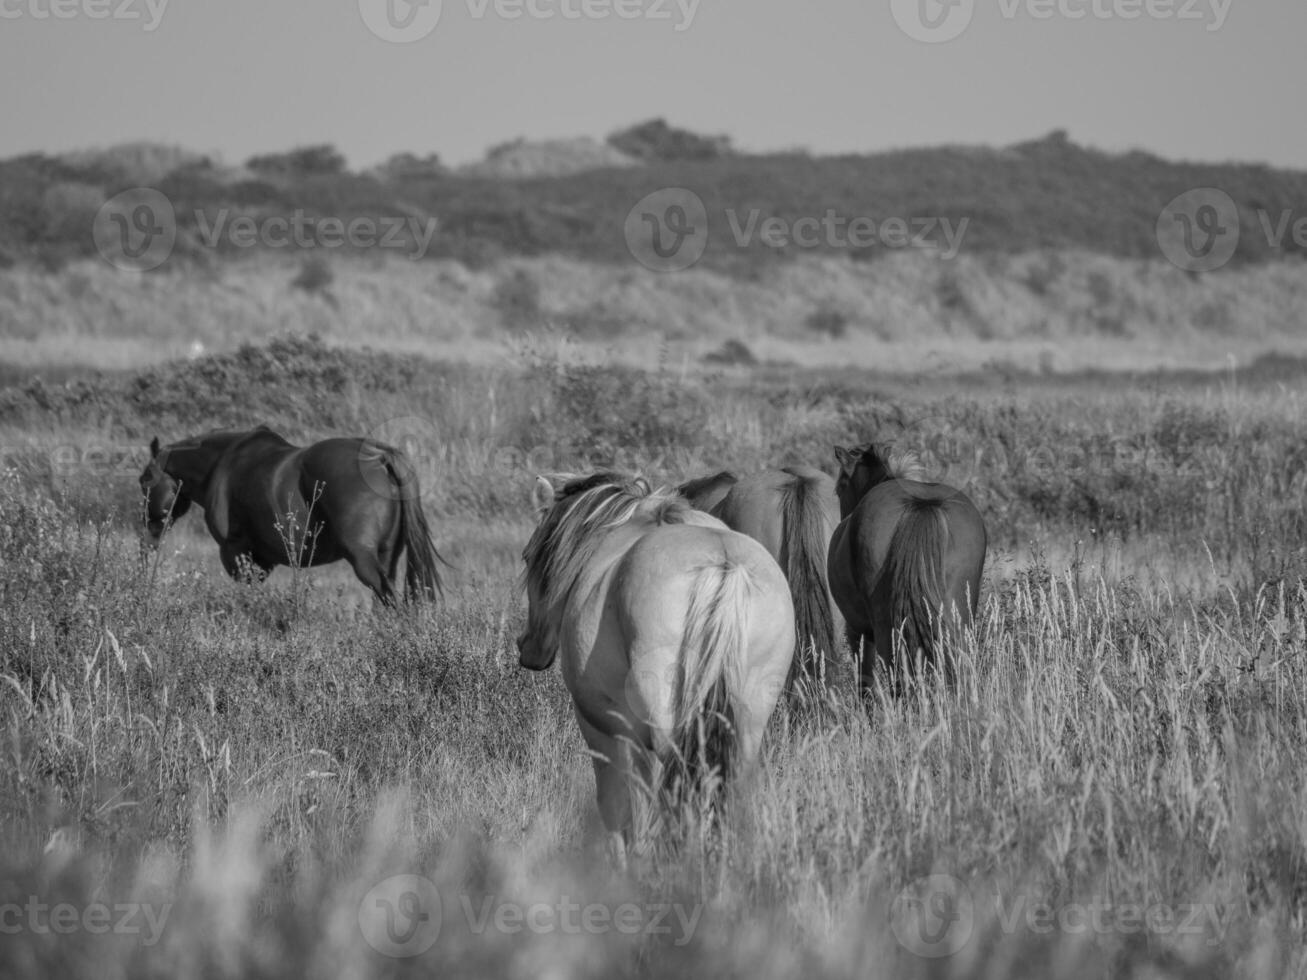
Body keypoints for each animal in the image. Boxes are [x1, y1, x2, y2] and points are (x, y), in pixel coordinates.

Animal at [137, 423, 444, 606]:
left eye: (144, 479)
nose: (146, 540)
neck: (221, 463)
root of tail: (380, 458)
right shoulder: (264, 559)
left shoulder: (236, 551)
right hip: (388, 556)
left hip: (364, 559)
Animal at [514, 475, 789, 867]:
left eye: (528, 555)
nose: (528, 649)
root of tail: (724, 564)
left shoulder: (604, 729)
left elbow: (619, 806)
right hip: (748, 722)